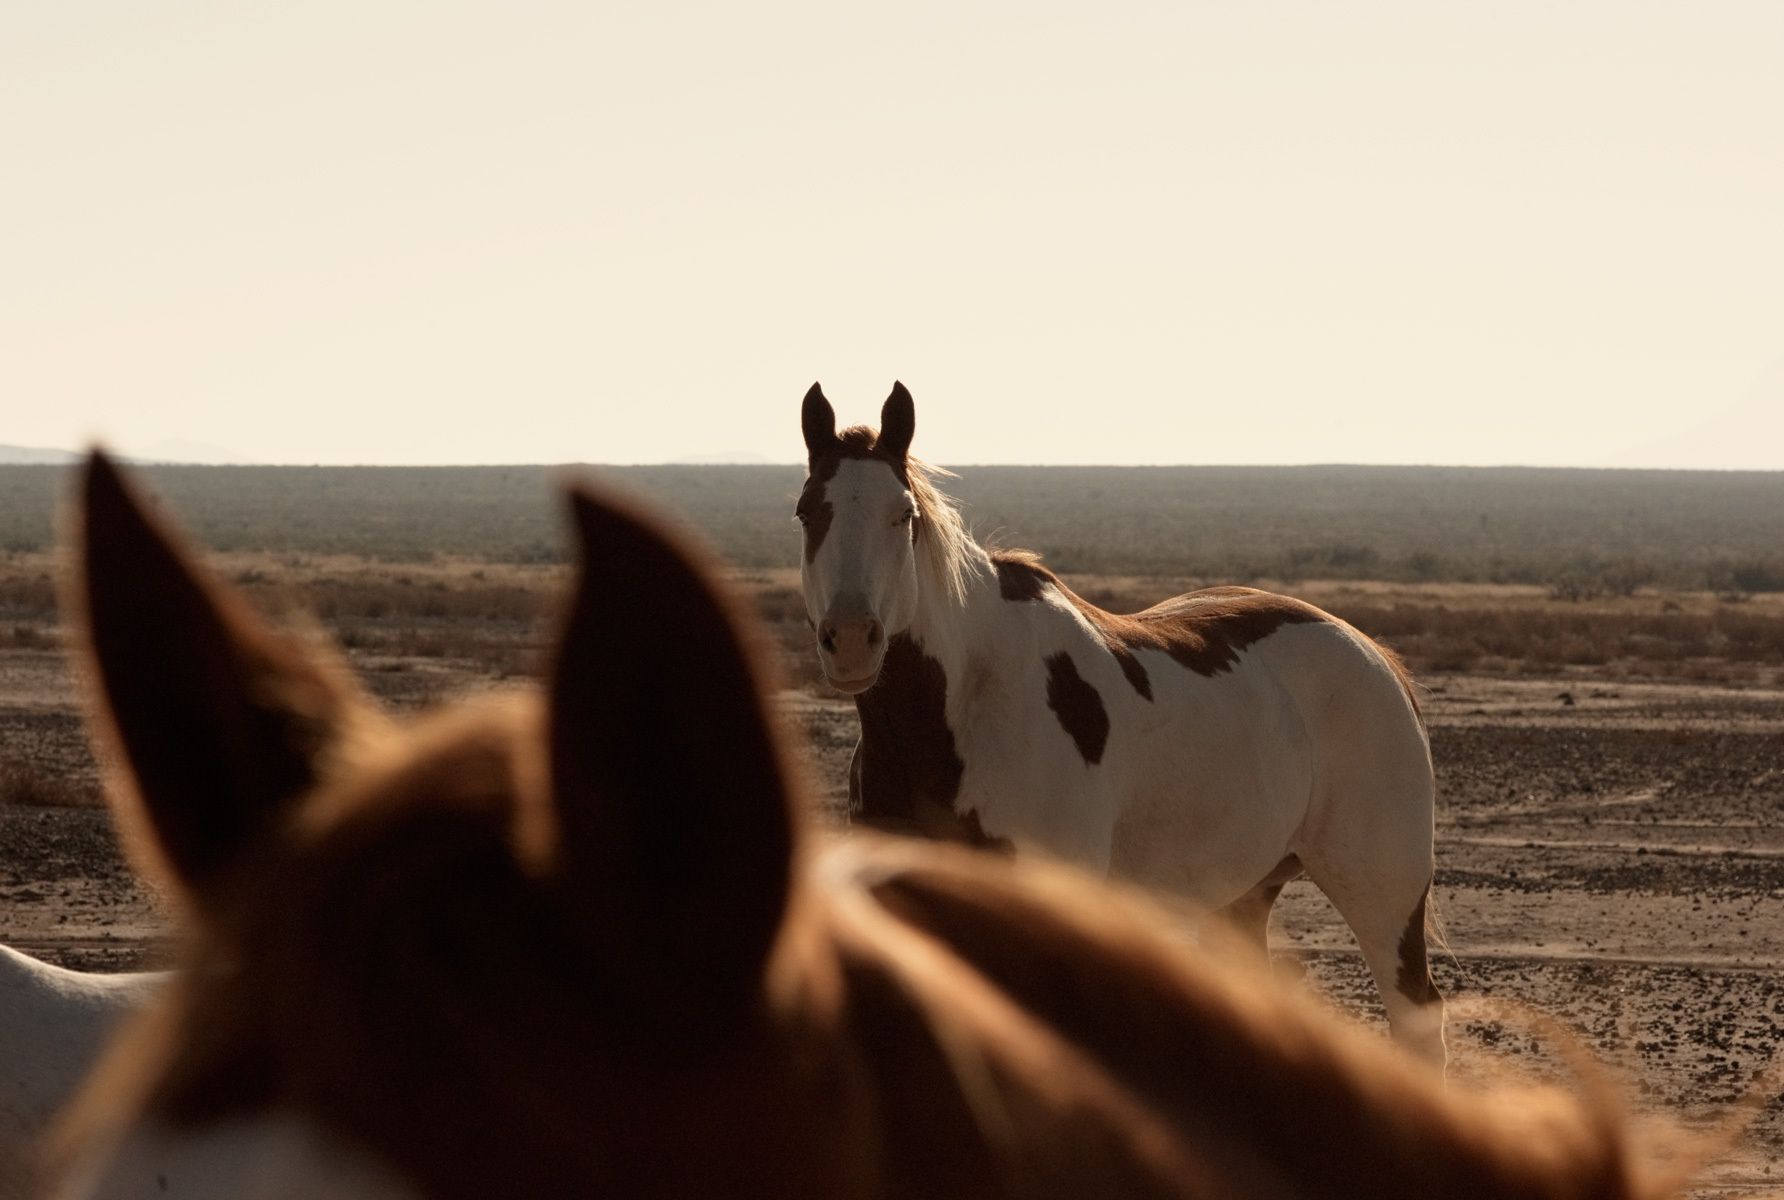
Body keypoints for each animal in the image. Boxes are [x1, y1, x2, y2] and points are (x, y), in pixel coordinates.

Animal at [797, 382, 1445, 1066]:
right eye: (807, 512)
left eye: (904, 515)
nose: (851, 641)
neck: (959, 713)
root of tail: (1374, 657)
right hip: (1242, 895)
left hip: (1383, 898)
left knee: (1417, 1019)